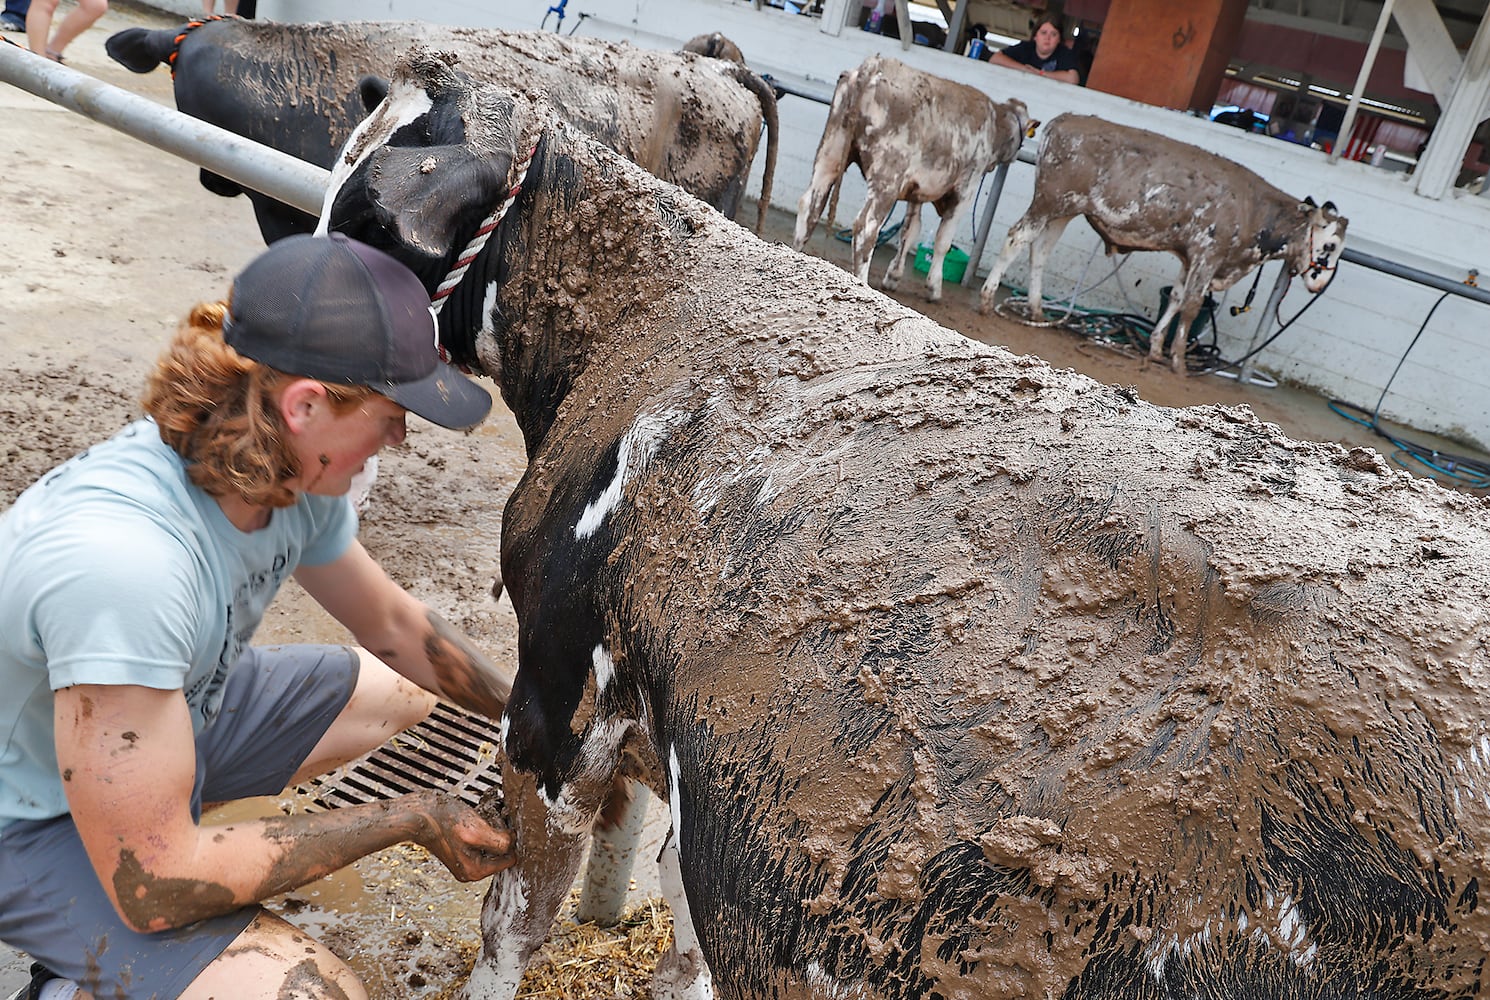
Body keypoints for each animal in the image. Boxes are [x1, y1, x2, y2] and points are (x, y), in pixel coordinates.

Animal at [792, 53, 1037, 302]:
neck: (994, 124)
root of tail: (871, 67)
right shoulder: (966, 188)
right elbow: (943, 240)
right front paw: (934, 287)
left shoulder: (916, 190)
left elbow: (910, 231)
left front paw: (893, 276)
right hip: (887, 178)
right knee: (865, 228)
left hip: (830, 152)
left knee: (809, 205)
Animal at [983, 110, 1346, 375]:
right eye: (1328, 245)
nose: (1320, 283)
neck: (1254, 210)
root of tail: (1066, 119)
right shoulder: (1207, 253)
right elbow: (1191, 306)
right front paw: (1179, 360)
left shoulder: (1189, 257)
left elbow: (1175, 298)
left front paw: (1157, 347)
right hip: (1049, 200)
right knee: (1017, 237)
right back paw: (988, 299)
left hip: (1064, 210)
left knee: (1040, 251)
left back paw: (1036, 309)